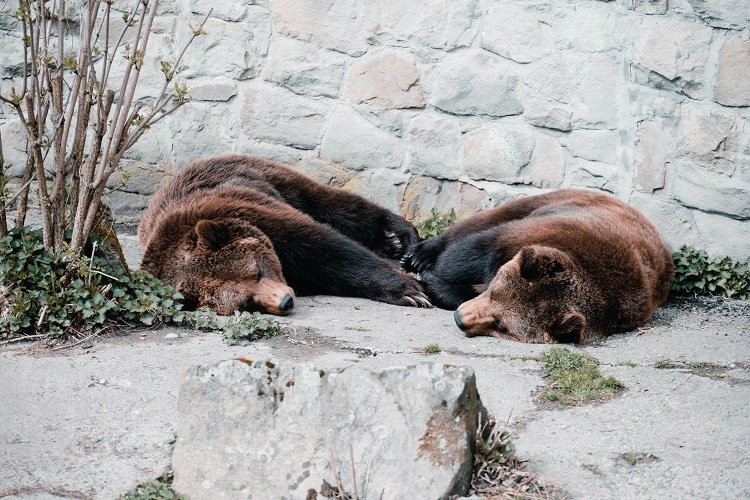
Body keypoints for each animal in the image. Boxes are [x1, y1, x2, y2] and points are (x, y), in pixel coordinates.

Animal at [138, 154, 432, 314]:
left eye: (256, 271)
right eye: (246, 302)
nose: (285, 301)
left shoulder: (256, 215)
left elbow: (330, 249)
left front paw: (410, 291)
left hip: (269, 179)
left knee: (338, 206)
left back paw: (399, 237)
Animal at [406, 188, 676, 344]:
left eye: (502, 325)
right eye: (494, 292)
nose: (460, 319)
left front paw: (433, 284)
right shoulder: (540, 232)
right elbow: (465, 254)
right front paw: (427, 273)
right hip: (548, 202)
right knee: (480, 222)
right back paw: (420, 253)